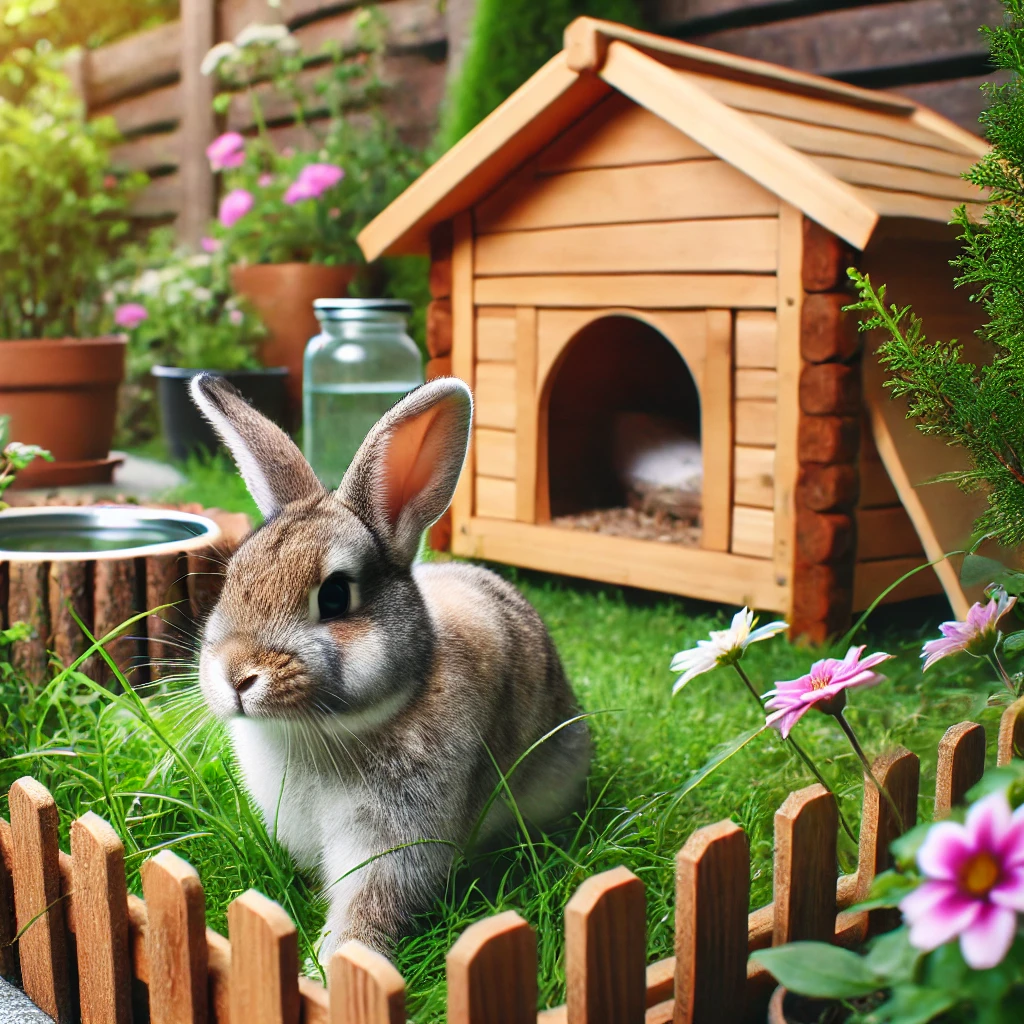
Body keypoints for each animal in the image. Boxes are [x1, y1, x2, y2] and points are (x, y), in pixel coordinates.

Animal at [190, 374, 593, 958]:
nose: (236, 675)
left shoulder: (394, 846)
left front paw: (331, 963)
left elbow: (368, 908)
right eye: (232, 577)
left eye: (335, 596)